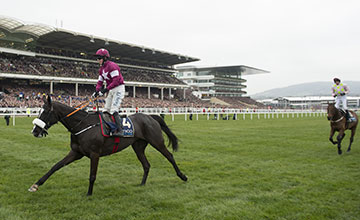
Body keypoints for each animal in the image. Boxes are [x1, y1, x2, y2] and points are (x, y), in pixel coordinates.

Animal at [29, 95, 187, 195]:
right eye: (39, 111)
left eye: (45, 112)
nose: (35, 131)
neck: (83, 125)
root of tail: (150, 117)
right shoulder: (76, 153)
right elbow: (55, 166)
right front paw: (36, 185)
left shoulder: (95, 154)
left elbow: (92, 175)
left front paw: (89, 194)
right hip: (138, 146)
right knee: (146, 164)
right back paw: (142, 184)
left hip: (157, 141)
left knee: (169, 156)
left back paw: (182, 176)